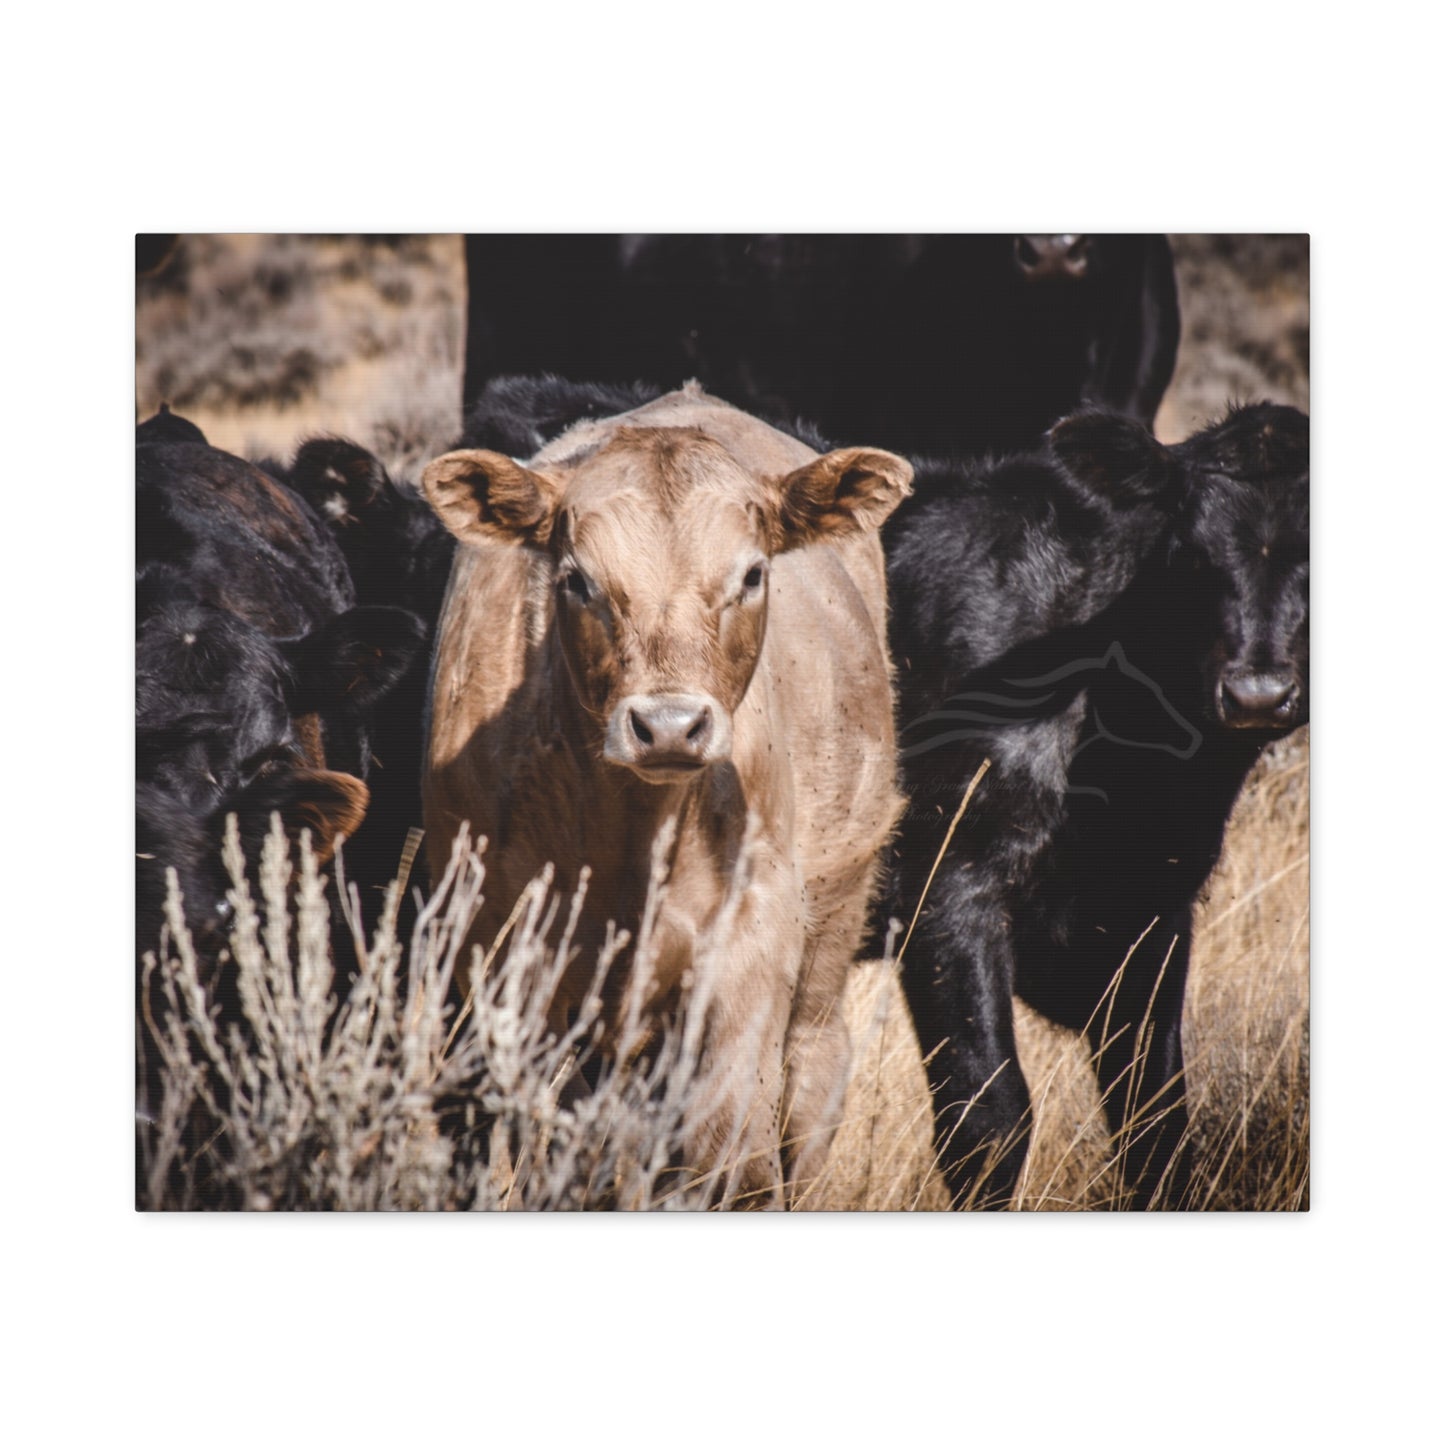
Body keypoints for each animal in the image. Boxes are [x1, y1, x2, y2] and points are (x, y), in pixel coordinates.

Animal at [420, 384, 912, 1206]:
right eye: (577, 579)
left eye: (751, 575)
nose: (670, 726)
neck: (631, 840)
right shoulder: (506, 957)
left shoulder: (748, 948)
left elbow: (732, 1159)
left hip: (832, 923)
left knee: (811, 1077)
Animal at [884, 402, 1309, 1208]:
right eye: (1190, 552)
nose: (1257, 694)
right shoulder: (947, 884)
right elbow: (988, 1119)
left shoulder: (1154, 907)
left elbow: (1155, 1118)